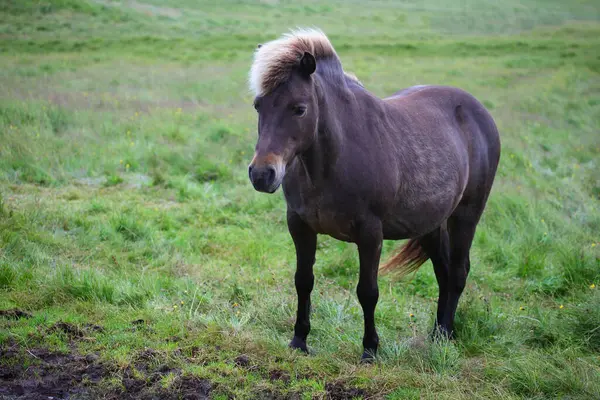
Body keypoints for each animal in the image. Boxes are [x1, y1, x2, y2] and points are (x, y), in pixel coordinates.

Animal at [246, 26, 500, 360]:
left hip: (467, 215)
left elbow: (367, 292)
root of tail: (479, 112)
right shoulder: (299, 226)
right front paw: (299, 341)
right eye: (258, 105)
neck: (331, 162)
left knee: (458, 272)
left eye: (299, 109)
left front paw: (370, 350)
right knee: (444, 274)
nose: (262, 174)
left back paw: (444, 336)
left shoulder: (370, 234)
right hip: (431, 224)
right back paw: (438, 335)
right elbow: (303, 281)